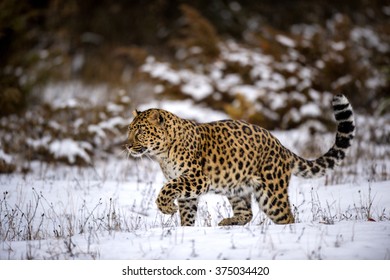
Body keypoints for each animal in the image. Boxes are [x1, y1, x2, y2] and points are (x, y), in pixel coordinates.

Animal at [126, 94, 354, 225]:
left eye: (140, 132)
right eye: (130, 130)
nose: (127, 145)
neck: (162, 154)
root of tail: (281, 146)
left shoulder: (197, 178)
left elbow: (167, 189)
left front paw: (166, 207)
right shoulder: (187, 186)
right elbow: (187, 212)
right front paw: (185, 229)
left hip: (271, 194)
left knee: (286, 216)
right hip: (237, 190)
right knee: (247, 214)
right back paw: (228, 222)